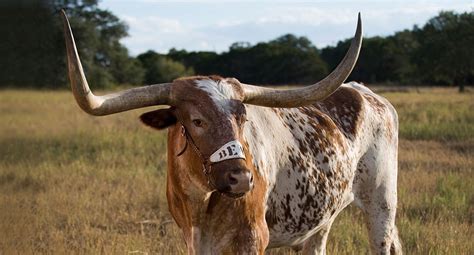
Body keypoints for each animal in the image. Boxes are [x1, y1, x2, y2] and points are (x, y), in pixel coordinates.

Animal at [62, 10, 400, 254]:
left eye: (243, 117)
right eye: (196, 120)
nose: (242, 178)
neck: (202, 203)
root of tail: (367, 92)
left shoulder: (253, 238)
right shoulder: (194, 242)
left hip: (382, 202)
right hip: (322, 215)